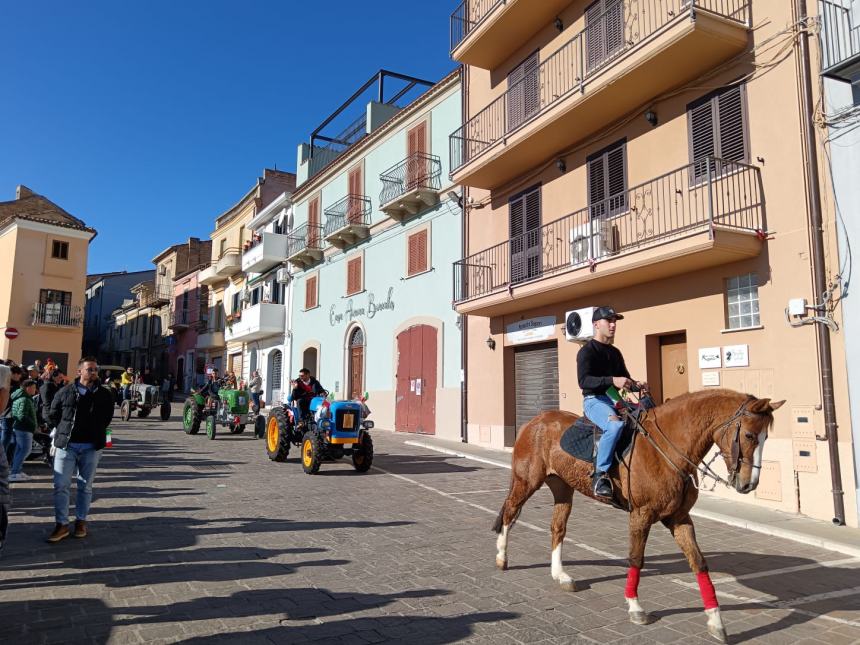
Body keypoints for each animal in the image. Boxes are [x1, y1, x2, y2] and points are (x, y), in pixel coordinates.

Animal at [494, 384, 784, 640]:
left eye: (766, 437)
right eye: (749, 435)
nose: (749, 484)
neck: (667, 450)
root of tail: (535, 421)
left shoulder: (679, 519)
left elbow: (699, 562)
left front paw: (716, 621)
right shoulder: (640, 515)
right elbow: (636, 559)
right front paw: (635, 607)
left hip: (563, 488)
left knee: (557, 528)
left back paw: (561, 575)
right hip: (526, 481)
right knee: (509, 513)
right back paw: (501, 557)